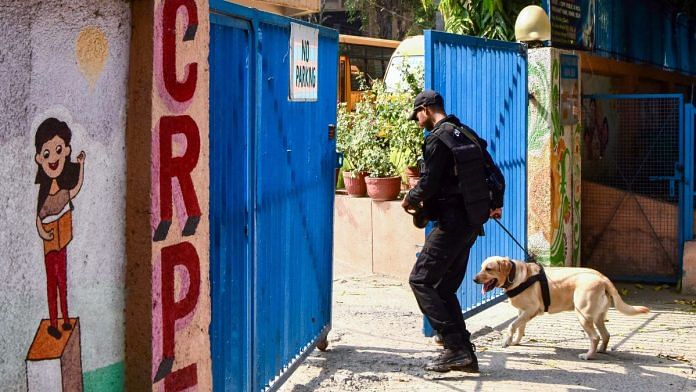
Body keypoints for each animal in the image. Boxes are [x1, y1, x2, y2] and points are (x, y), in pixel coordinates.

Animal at [470, 256, 648, 360]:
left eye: (489, 269)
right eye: (481, 267)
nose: (473, 279)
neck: (515, 276)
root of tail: (603, 278)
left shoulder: (531, 310)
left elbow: (512, 325)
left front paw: (507, 341)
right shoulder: (523, 312)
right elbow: (520, 328)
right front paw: (515, 341)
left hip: (583, 316)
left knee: (595, 337)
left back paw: (588, 355)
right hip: (598, 317)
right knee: (606, 335)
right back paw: (601, 351)